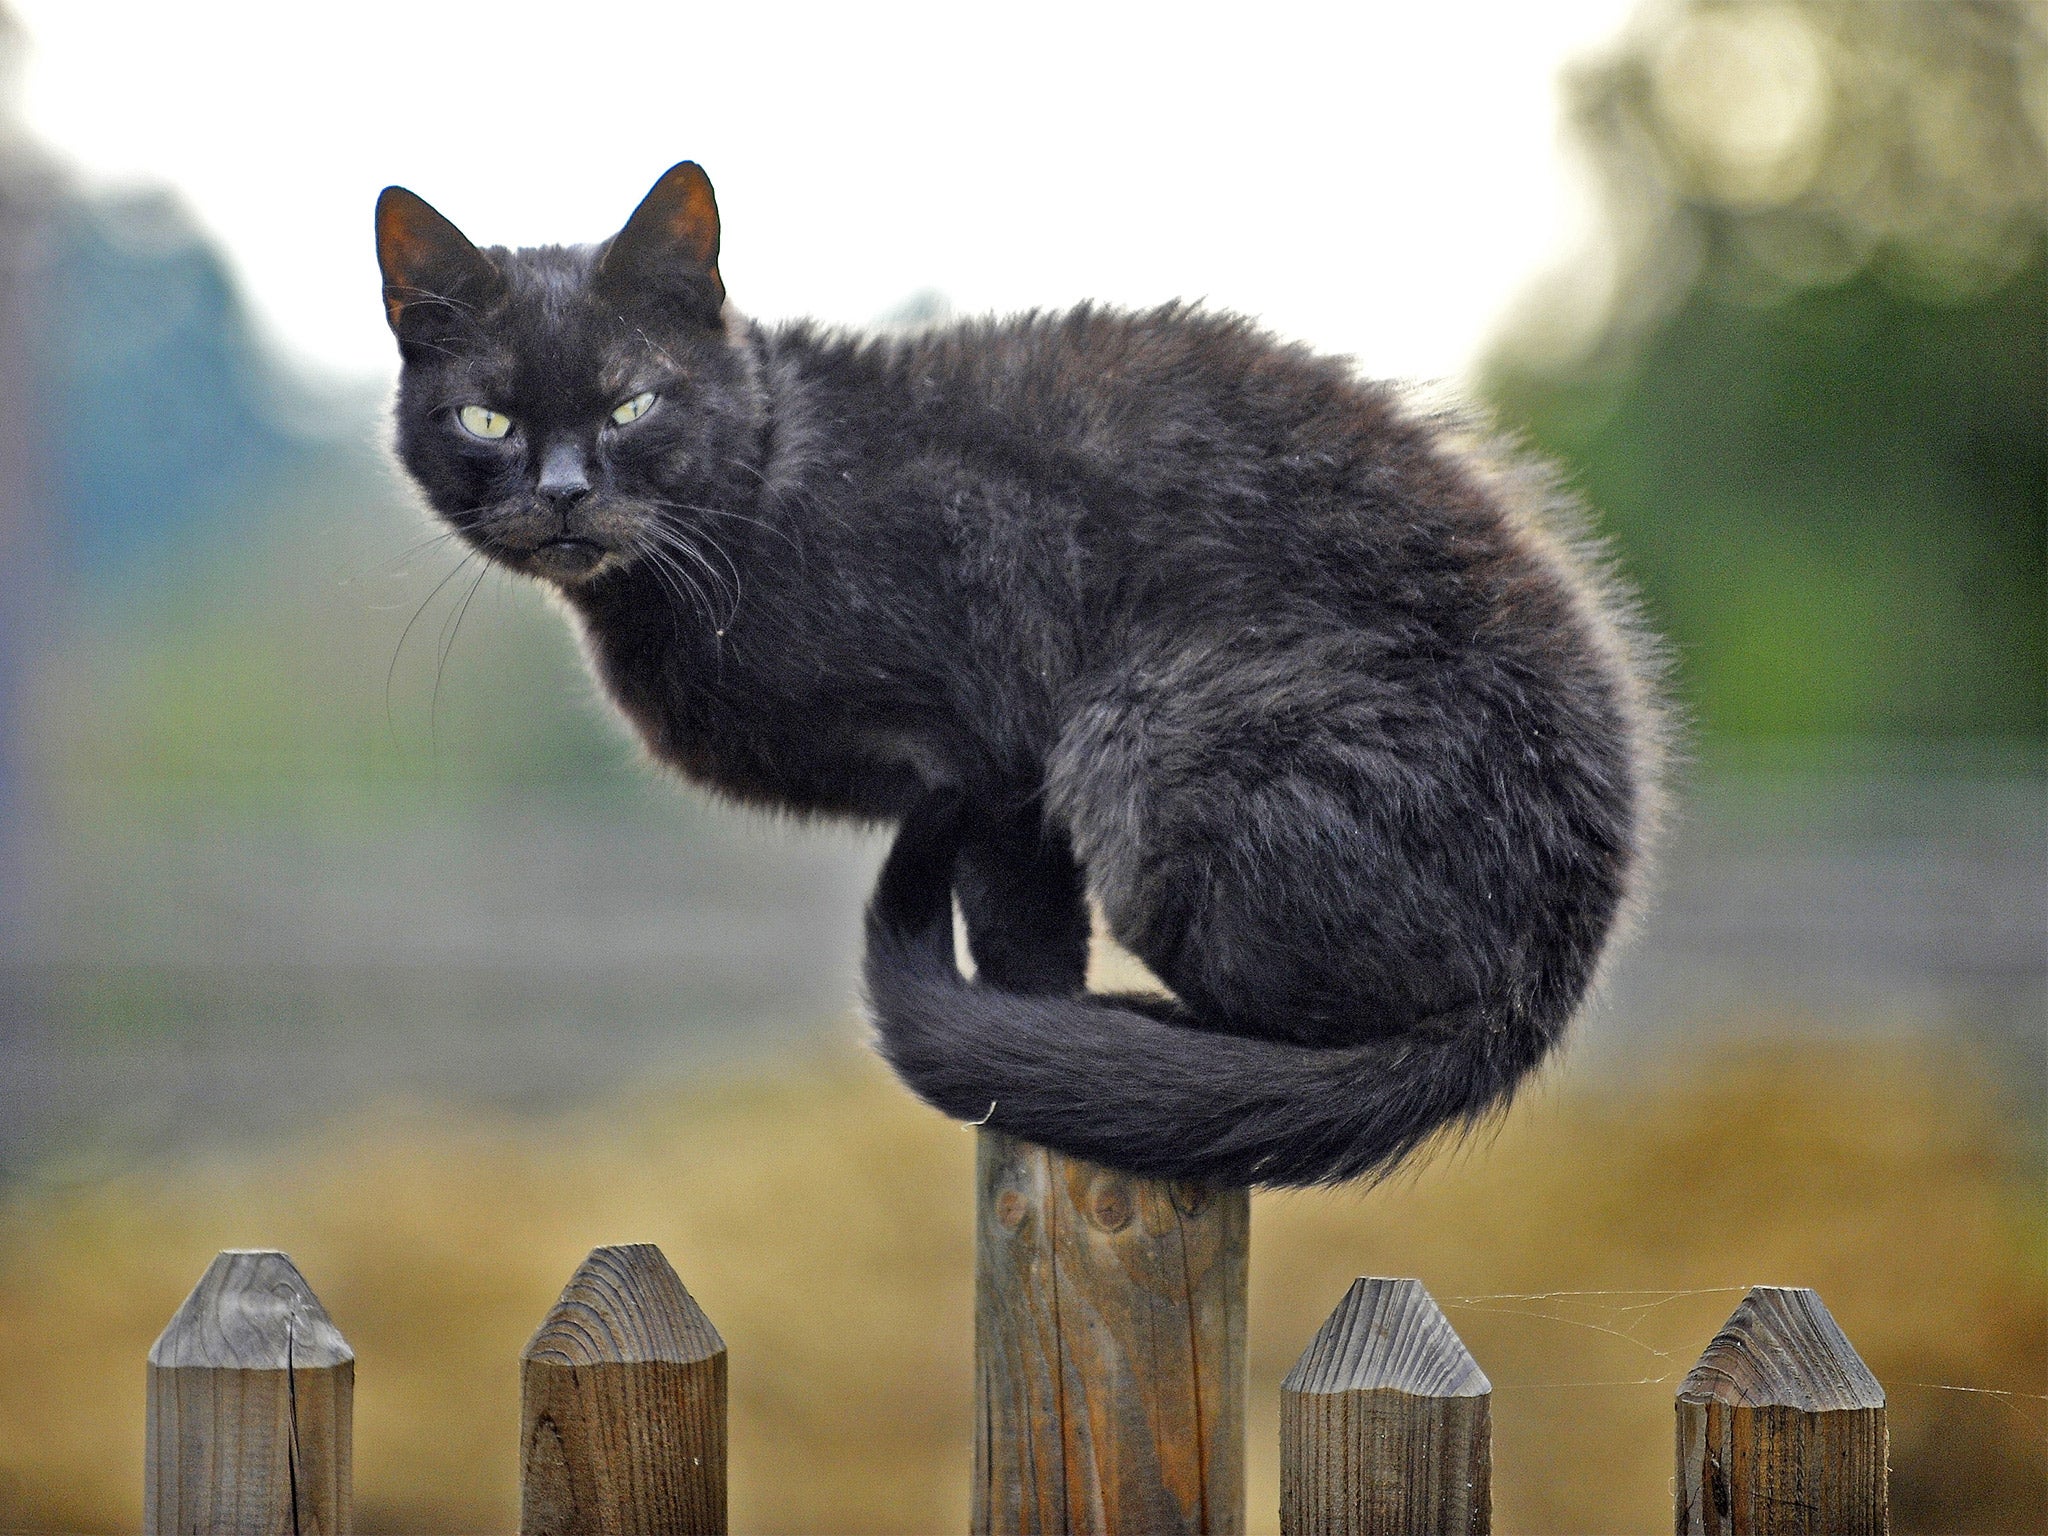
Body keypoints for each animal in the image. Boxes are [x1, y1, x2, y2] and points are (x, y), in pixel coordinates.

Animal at [372, 162, 1662, 1187]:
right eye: (485, 419)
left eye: (633, 402)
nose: (564, 490)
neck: (766, 496)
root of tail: (1557, 960)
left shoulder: (998, 759)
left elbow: (1020, 941)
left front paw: (1018, 1048)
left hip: (1146, 731)